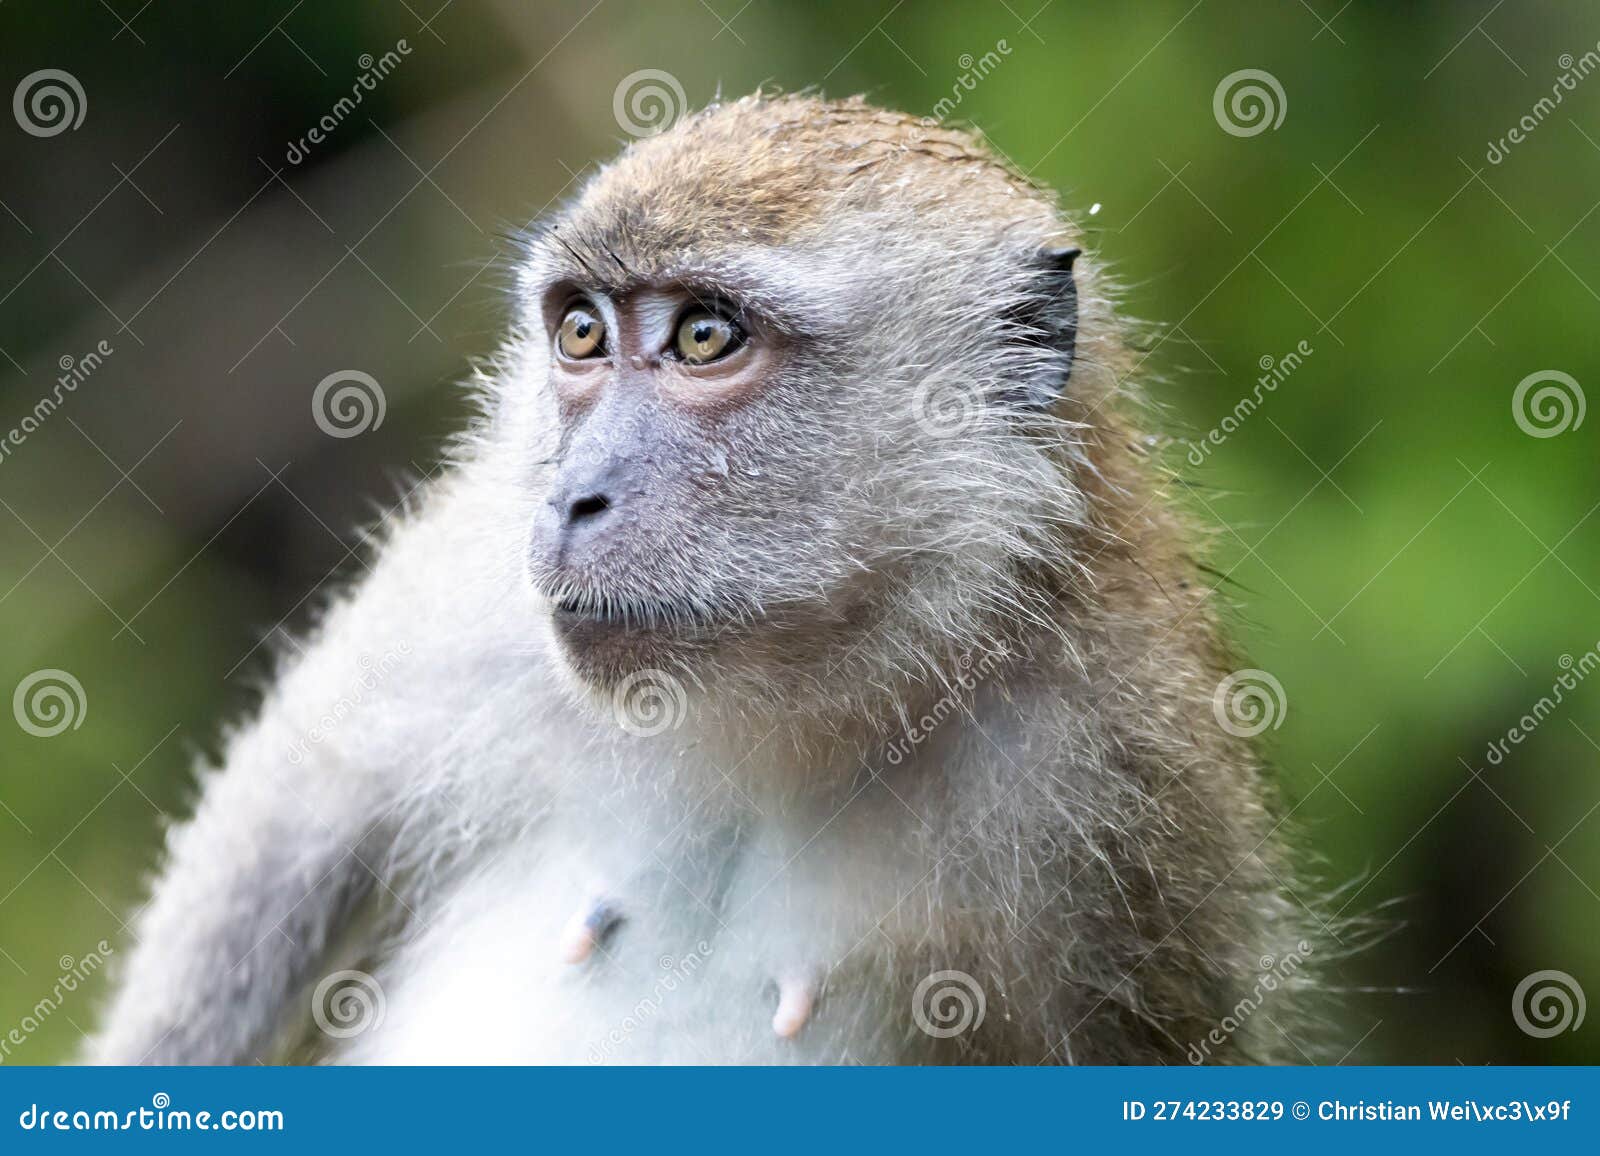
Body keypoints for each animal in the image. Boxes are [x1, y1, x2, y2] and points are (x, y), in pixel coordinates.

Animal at [87, 93, 1318, 1066]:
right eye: (582, 332)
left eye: (705, 338)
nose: (571, 498)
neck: (781, 705)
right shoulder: (474, 595)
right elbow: (291, 815)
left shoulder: (1133, 779)